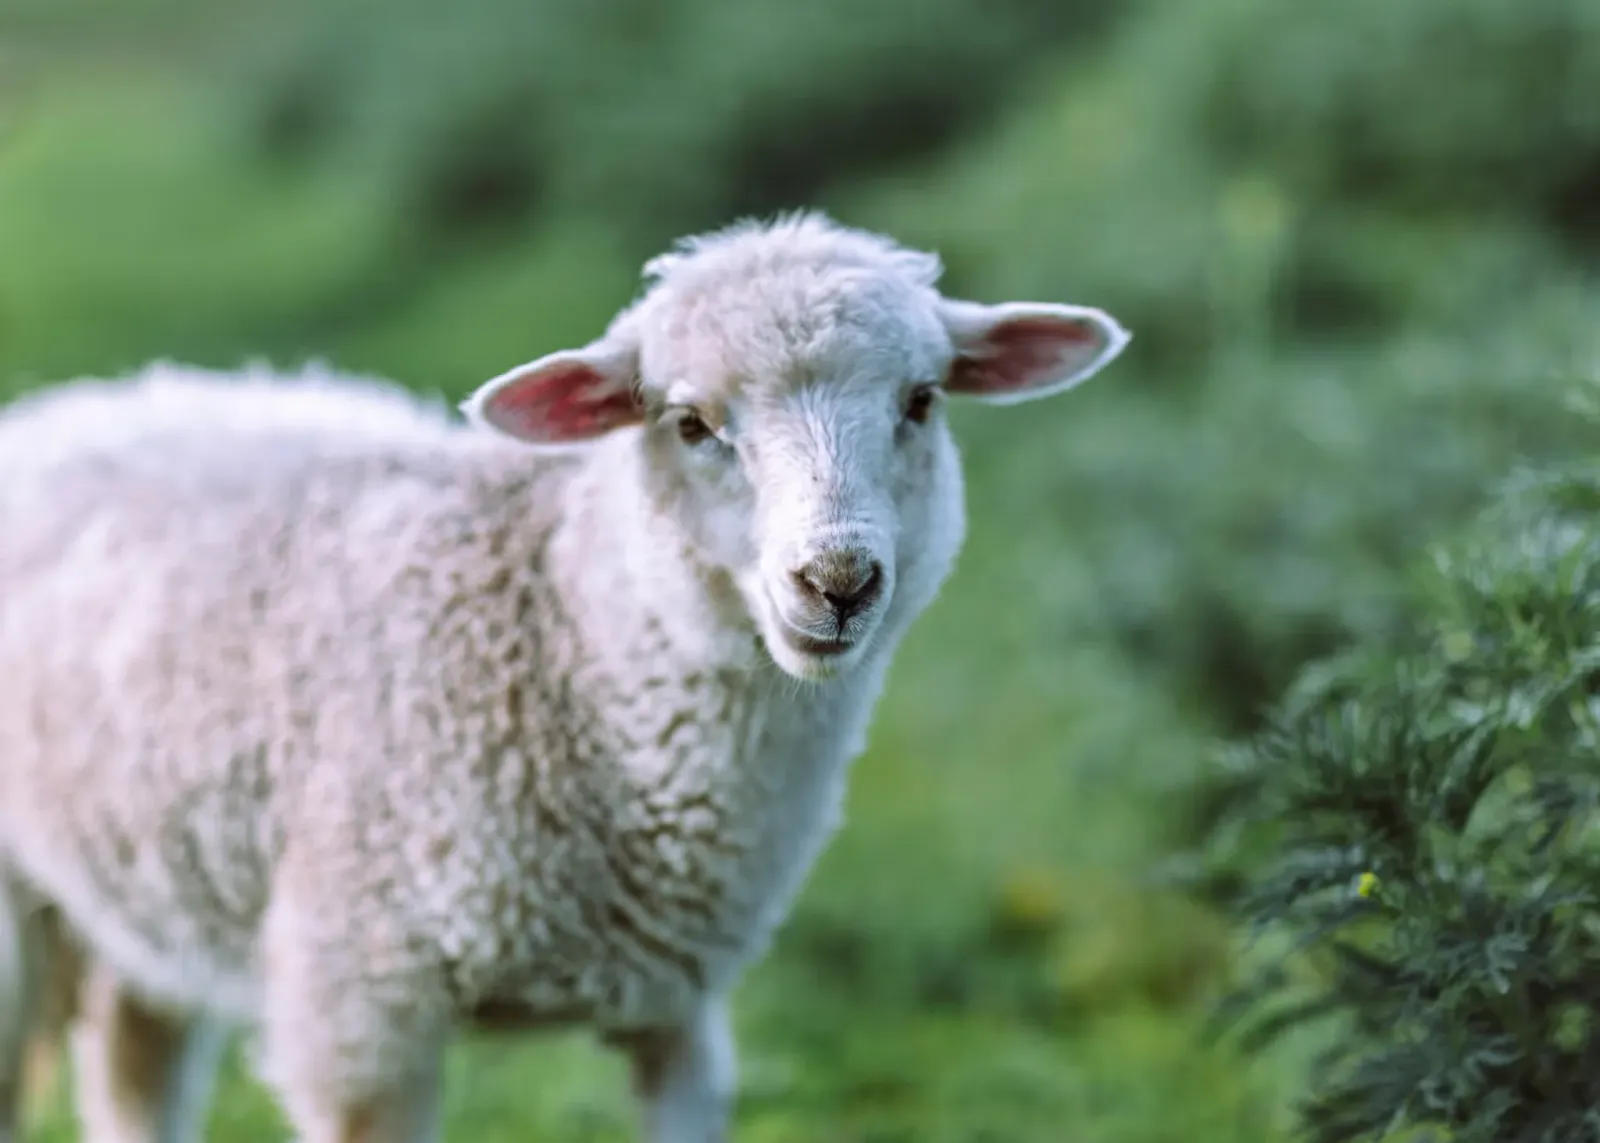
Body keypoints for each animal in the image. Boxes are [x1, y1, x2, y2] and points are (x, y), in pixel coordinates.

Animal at [0, 210, 1130, 1143]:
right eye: (689, 422)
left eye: (922, 401)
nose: (838, 581)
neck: (562, 640)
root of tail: (84, 399)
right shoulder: (357, 1001)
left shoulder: (681, 1017)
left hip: (145, 890)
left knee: (132, 1065)